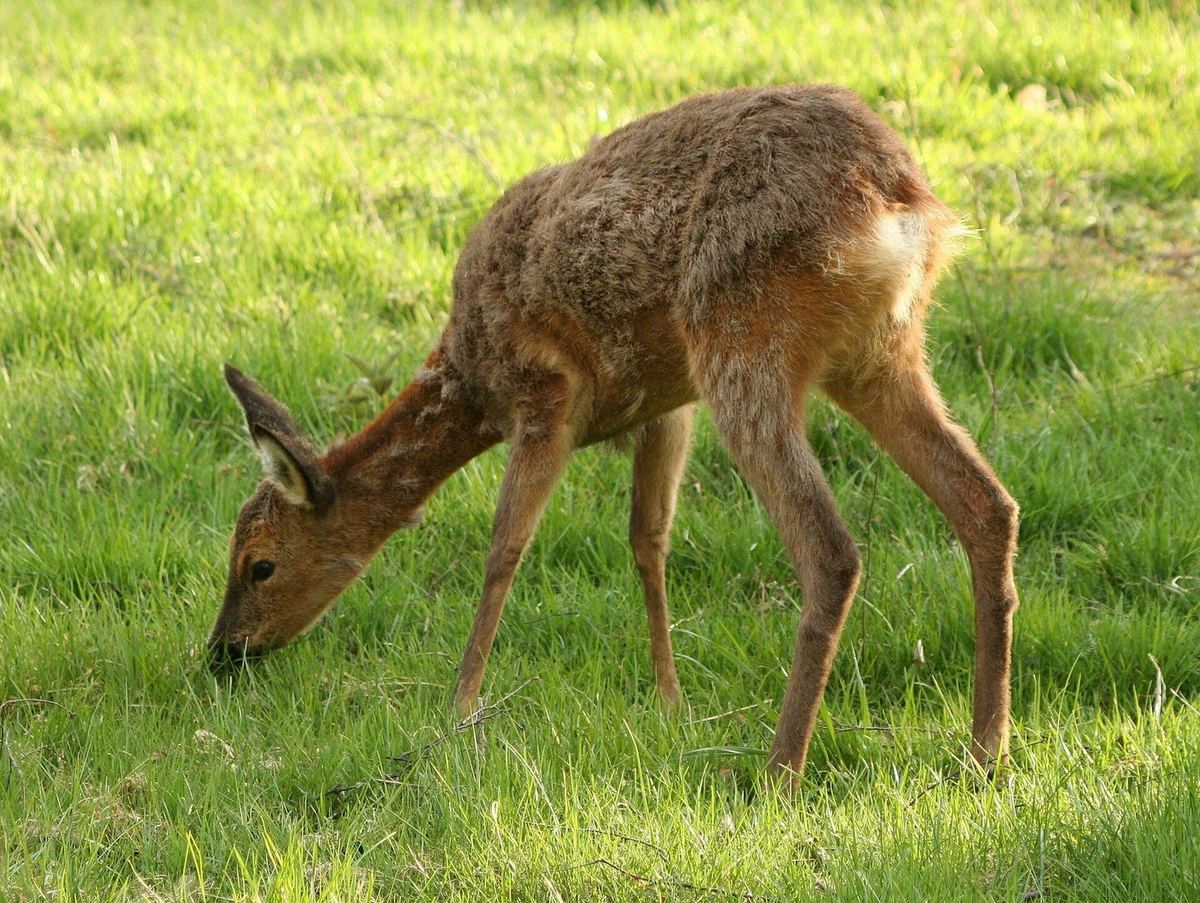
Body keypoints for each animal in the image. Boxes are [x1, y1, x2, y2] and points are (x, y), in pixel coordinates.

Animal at [209, 85, 1020, 785]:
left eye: (259, 564)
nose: (222, 652)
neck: (469, 378)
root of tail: (897, 195)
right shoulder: (663, 407)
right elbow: (647, 542)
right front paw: (669, 699)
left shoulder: (546, 397)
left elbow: (504, 549)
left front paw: (459, 706)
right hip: (878, 354)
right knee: (987, 503)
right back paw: (985, 751)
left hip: (742, 342)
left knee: (832, 550)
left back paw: (779, 770)